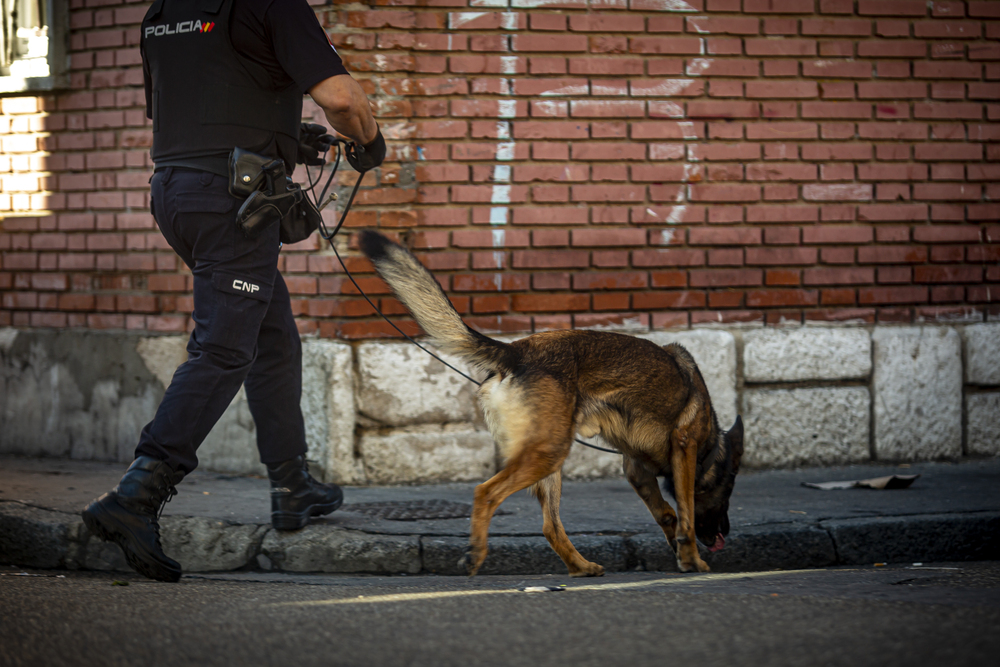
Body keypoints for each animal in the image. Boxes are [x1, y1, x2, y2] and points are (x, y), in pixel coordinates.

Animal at [356, 231, 740, 576]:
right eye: (730, 486)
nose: (725, 534)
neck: (709, 439)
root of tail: (516, 351)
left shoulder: (636, 469)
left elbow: (668, 513)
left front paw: (679, 552)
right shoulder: (684, 447)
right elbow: (686, 513)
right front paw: (692, 560)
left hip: (547, 456)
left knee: (550, 526)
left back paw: (581, 567)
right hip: (550, 451)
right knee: (487, 492)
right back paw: (477, 553)